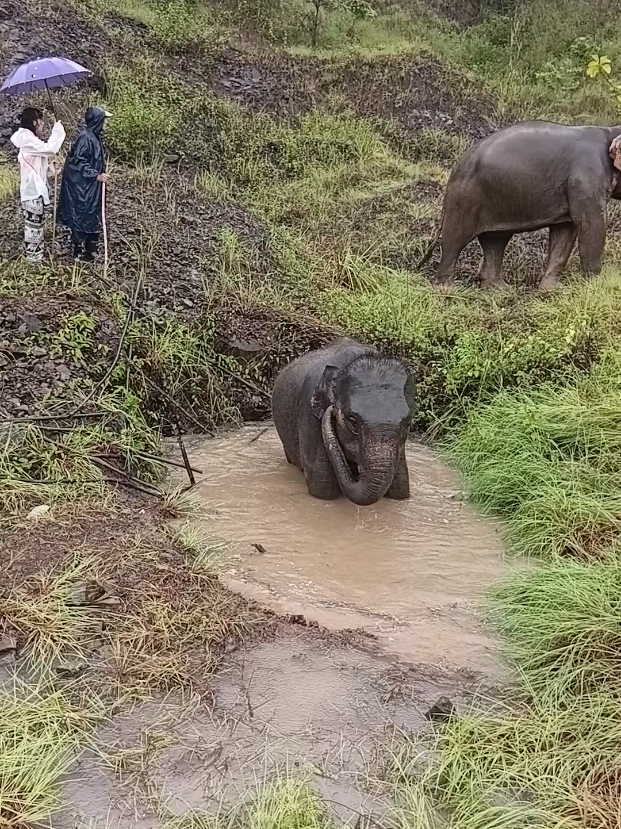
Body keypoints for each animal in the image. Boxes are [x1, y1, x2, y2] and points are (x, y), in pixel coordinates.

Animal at [271, 338, 417, 507]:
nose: (332, 409)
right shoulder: (310, 417)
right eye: (353, 421)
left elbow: (401, 490)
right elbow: (322, 489)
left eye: (407, 424)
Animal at [419, 121, 621, 290]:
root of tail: (458, 165)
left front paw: (550, 291)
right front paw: (595, 286)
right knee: (455, 239)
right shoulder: (587, 179)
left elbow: (565, 231)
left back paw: (499, 290)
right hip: (465, 198)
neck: (609, 130)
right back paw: (447, 289)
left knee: (495, 241)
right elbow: (590, 225)